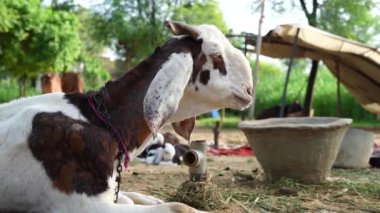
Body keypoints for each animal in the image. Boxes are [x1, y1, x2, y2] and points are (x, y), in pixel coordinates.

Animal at [0, 20, 255, 212]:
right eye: (217, 56)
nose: (250, 90)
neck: (101, 120)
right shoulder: (82, 205)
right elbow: (180, 207)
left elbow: (132, 197)